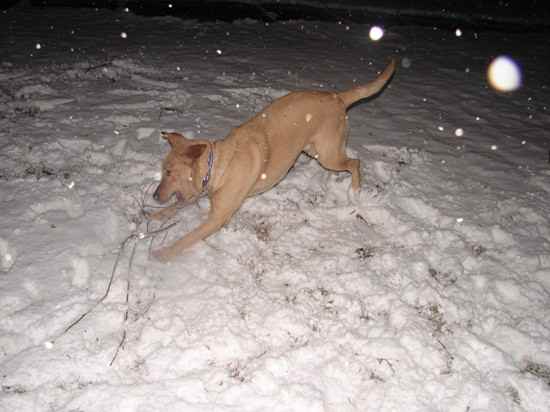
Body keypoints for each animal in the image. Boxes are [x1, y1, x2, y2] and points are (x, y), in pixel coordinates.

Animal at [150, 60, 396, 260]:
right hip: (315, 151)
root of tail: (337, 97)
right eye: (162, 171)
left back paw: (354, 192)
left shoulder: (217, 218)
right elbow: (176, 205)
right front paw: (155, 215)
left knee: (355, 163)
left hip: (328, 155)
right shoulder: (196, 193)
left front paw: (163, 254)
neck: (219, 165)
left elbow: (186, 239)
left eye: (169, 172)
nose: (154, 196)